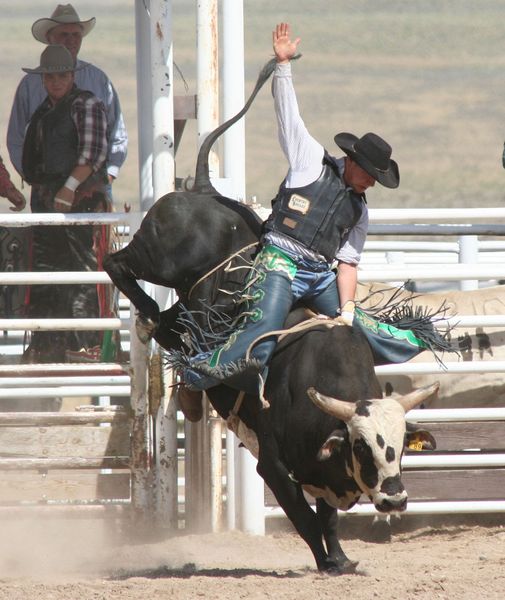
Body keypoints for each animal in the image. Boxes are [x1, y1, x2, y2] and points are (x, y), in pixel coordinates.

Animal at [103, 59, 438, 572]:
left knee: (175, 326)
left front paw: (342, 558)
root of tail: (203, 189)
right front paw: (326, 562)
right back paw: (144, 315)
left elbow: (328, 518)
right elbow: (304, 517)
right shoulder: (275, 467)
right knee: (118, 264)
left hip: (186, 302)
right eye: (363, 446)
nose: (395, 499)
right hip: (158, 257)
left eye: (400, 446)